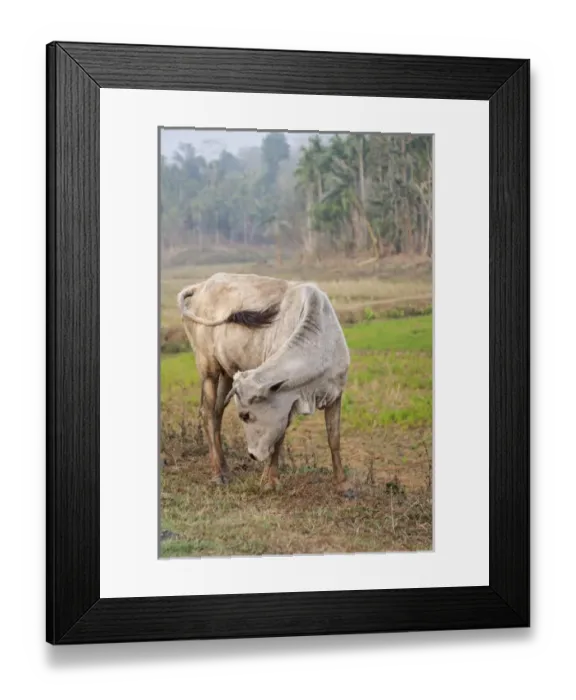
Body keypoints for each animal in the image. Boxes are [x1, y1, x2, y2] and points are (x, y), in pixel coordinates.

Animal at [177, 272, 355, 497]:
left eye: (245, 415)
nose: (251, 455)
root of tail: (200, 286)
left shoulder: (335, 394)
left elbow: (334, 438)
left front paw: (342, 484)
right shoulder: (286, 403)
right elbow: (278, 439)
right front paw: (270, 480)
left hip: (227, 374)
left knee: (217, 413)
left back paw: (225, 468)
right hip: (208, 368)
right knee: (207, 412)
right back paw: (218, 473)